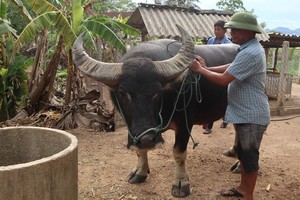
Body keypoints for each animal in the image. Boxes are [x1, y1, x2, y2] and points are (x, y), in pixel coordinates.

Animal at [71, 25, 238, 198]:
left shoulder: (185, 124)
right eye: (123, 93)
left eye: (157, 93)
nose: (147, 139)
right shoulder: (131, 125)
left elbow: (179, 153)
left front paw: (181, 184)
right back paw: (233, 152)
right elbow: (139, 150)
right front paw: (140, 172)